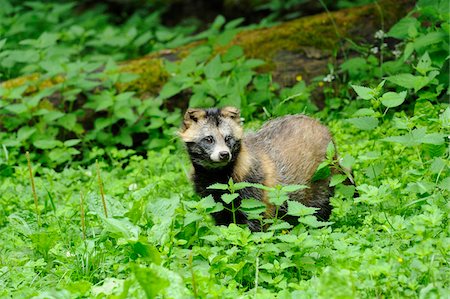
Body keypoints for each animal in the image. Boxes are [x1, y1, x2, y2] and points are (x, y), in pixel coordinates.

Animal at [181, 107, 336, 232]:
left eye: (228, 138)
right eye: (208, 139)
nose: (224, 154)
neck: (217, 175)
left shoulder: (254, 186)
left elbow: (256, 221)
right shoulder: (212, 197)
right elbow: (222, 223)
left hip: (322, 175)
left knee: (320, 206)